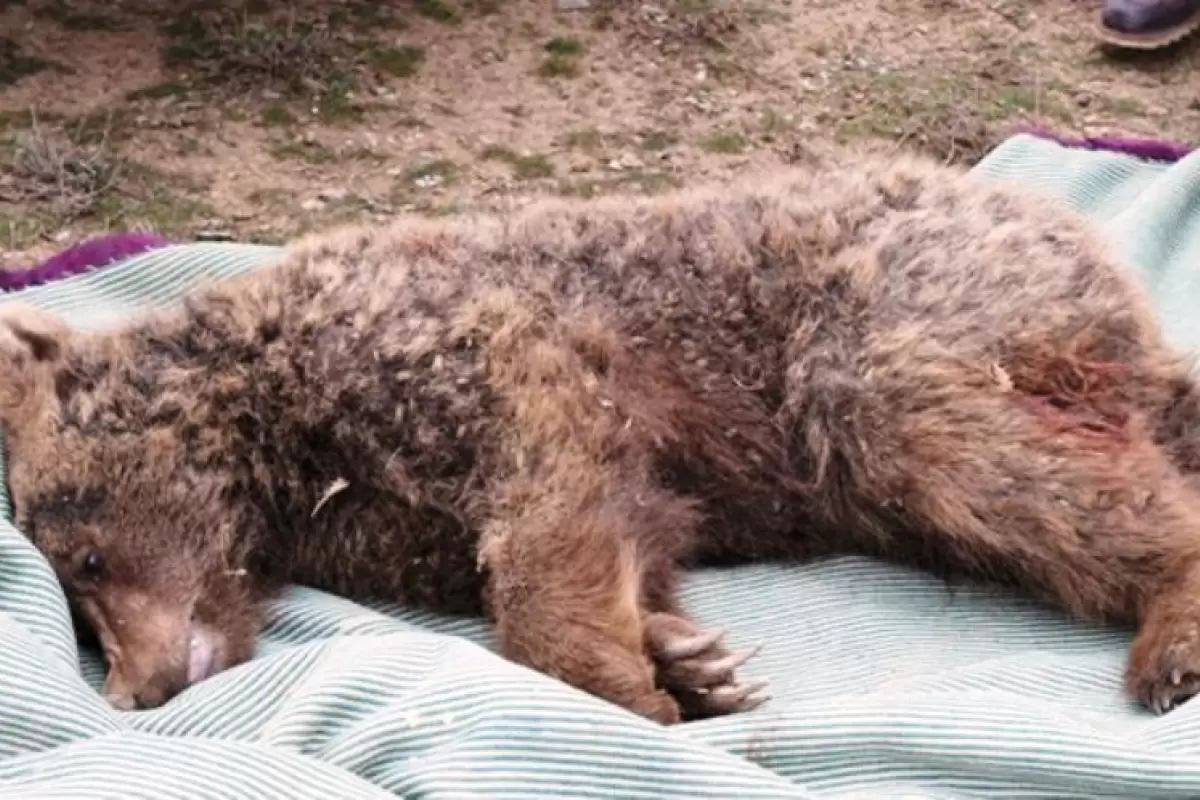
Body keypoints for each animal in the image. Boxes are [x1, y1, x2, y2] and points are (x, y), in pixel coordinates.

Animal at [2, 149, 1200, 724]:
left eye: (86, 562)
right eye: (74, 602)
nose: (134, 690)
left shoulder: (498, 361)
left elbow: (541, 545)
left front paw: (633, 687)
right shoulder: (416, 518)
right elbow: (611, 538)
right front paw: (687, 662)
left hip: (899, 324)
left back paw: (1172, 642)